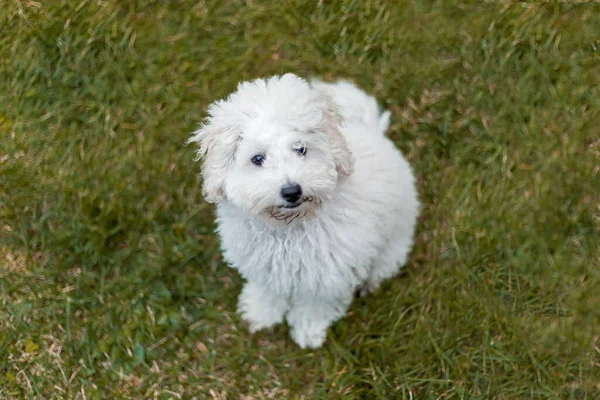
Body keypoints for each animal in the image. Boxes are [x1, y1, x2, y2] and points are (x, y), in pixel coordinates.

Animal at [190, 73, 420, 348]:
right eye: (258, 159)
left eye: (301, 148)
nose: (292, 191)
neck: (289, 228)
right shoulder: (264, 265)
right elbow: (267, 291)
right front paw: (260, 314)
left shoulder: (327, 275)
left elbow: (314, 306)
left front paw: (308, 332)